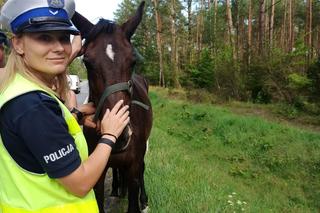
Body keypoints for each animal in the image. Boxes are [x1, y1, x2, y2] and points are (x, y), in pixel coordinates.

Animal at [72, 1, 152, 211]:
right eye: (87, 62)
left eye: (133, 61)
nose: (120, 135)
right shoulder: (97, 173)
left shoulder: (133, 169)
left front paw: (140, 200)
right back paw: (117, 188)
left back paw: (143, 199)